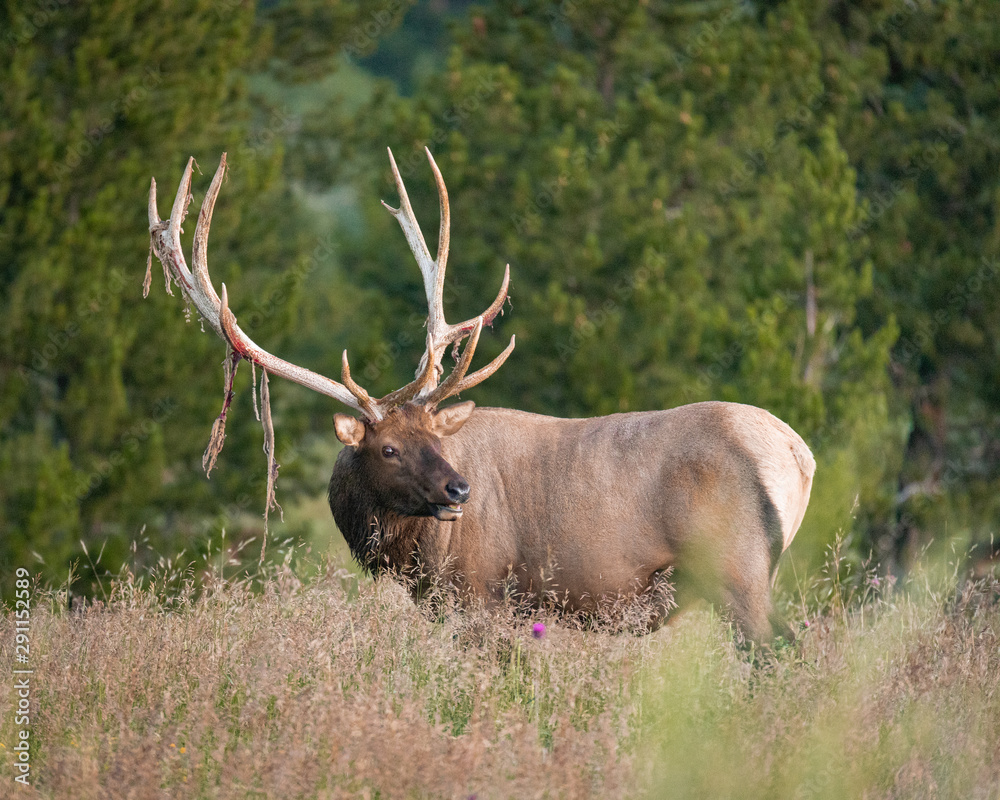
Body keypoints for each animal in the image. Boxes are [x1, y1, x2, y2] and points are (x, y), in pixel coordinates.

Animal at [152, 148, 816, 644]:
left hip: (737, 568)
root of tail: (798, 454)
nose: (458, 490)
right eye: (389, 448)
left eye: (435, 439)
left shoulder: (482, 598)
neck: (413, 557)